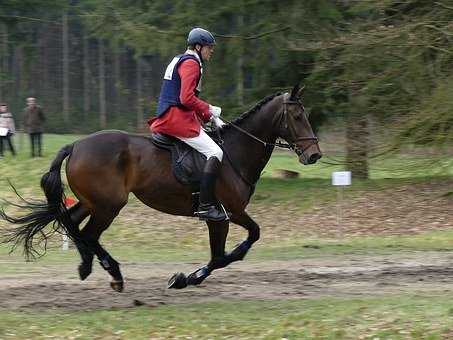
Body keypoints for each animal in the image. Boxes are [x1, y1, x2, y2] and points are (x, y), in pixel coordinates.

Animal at [0, 83, 322, 290]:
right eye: (297, 116)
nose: (314, 155)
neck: (235, 152)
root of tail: (76, 145)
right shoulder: (227, 213)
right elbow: (234, 248)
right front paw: (188, 278)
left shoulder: (220, 217)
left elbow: (224, 253)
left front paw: (188, 277)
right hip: (109, 205)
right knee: (88, 233)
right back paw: (113, 273)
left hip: (94, 202)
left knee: (71, 222)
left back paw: (87, 265)